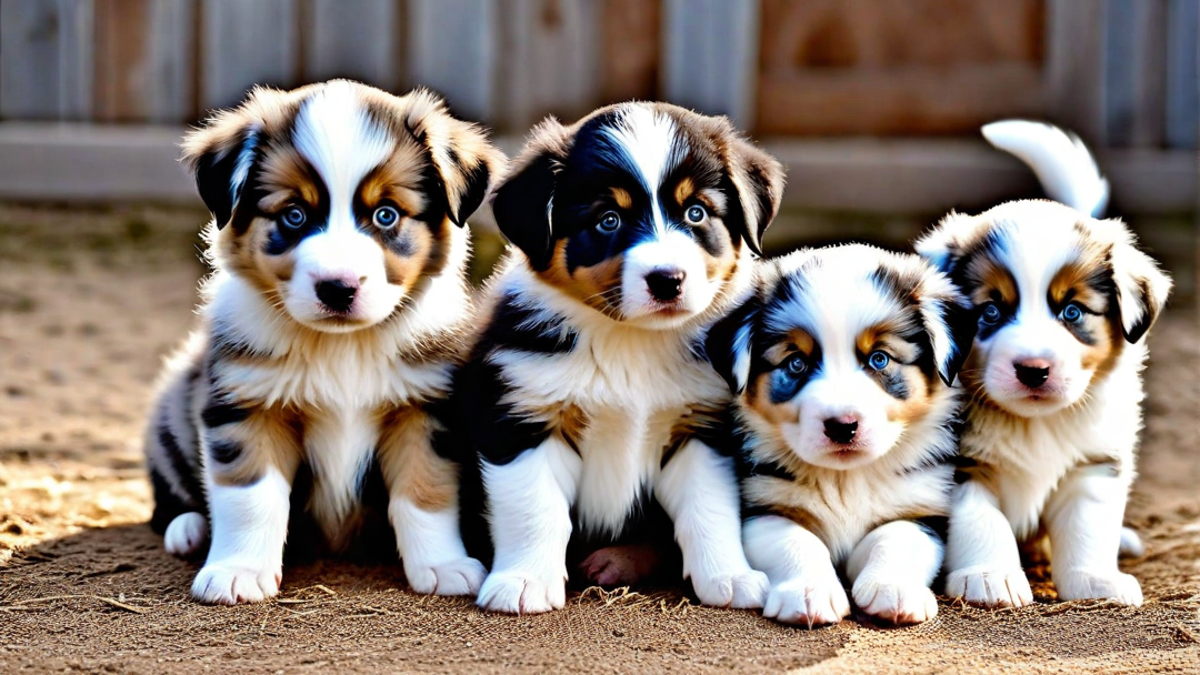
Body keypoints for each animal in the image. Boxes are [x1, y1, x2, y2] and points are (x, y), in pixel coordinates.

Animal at [142, 81, 504, 600]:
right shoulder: (246, 404)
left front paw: (443, 565)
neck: (342, 347)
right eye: (294, 215)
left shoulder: (423, 408)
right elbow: (250, 497)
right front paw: (238, 572)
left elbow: (425, 490)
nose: (338, 288)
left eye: (386, 215)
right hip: (171, 414)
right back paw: (188, 529)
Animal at [451, 102, 787, 612]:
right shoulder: (522, 418)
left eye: (696, 213)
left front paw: (729, 576)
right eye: (608, 219)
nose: (668, 280)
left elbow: (708, 509)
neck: (631, 341)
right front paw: (525, 582)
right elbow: (535, 508)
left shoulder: (702, 427)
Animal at [700, 242, 974, 624]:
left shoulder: (921, 506)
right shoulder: (765, 505)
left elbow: (897, 537)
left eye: (879, 359)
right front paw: (808, 592)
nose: (842, 426)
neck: (846, 478)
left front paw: (893, 589)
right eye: (796, 363)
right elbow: (796, 542)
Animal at [916, 119, 1171, 605]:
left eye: (1072, 311)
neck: (1034, 425)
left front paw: (1096, 580)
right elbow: (982, 521)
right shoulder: (956, 465)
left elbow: (1088, 527)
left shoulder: (1095, 462)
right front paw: (991, 576)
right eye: (990, 312)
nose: (1033, 370)